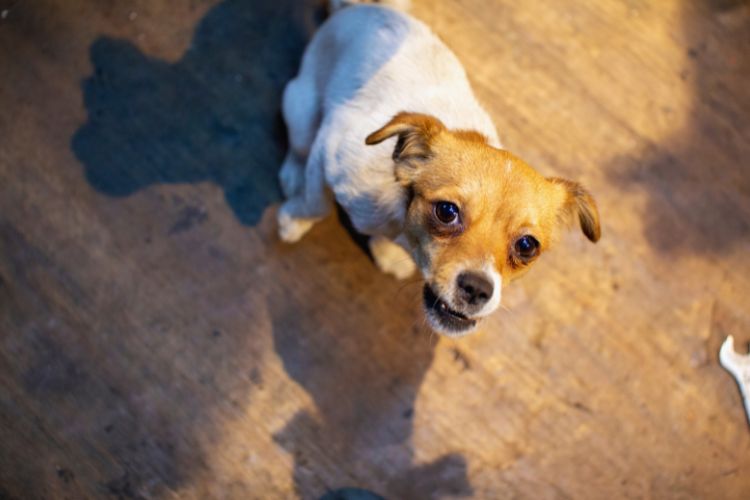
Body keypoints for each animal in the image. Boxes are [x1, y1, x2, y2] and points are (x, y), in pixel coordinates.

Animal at [280, 0, 604, 336]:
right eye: (447, 212)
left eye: (527, 246)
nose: (477, 288)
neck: (403, 221)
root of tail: (365, 7)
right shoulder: (328, 145)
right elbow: (316, 204)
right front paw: (294, 220)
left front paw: (386, 252)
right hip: (302, 109)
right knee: (299, 146)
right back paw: (293, 175)